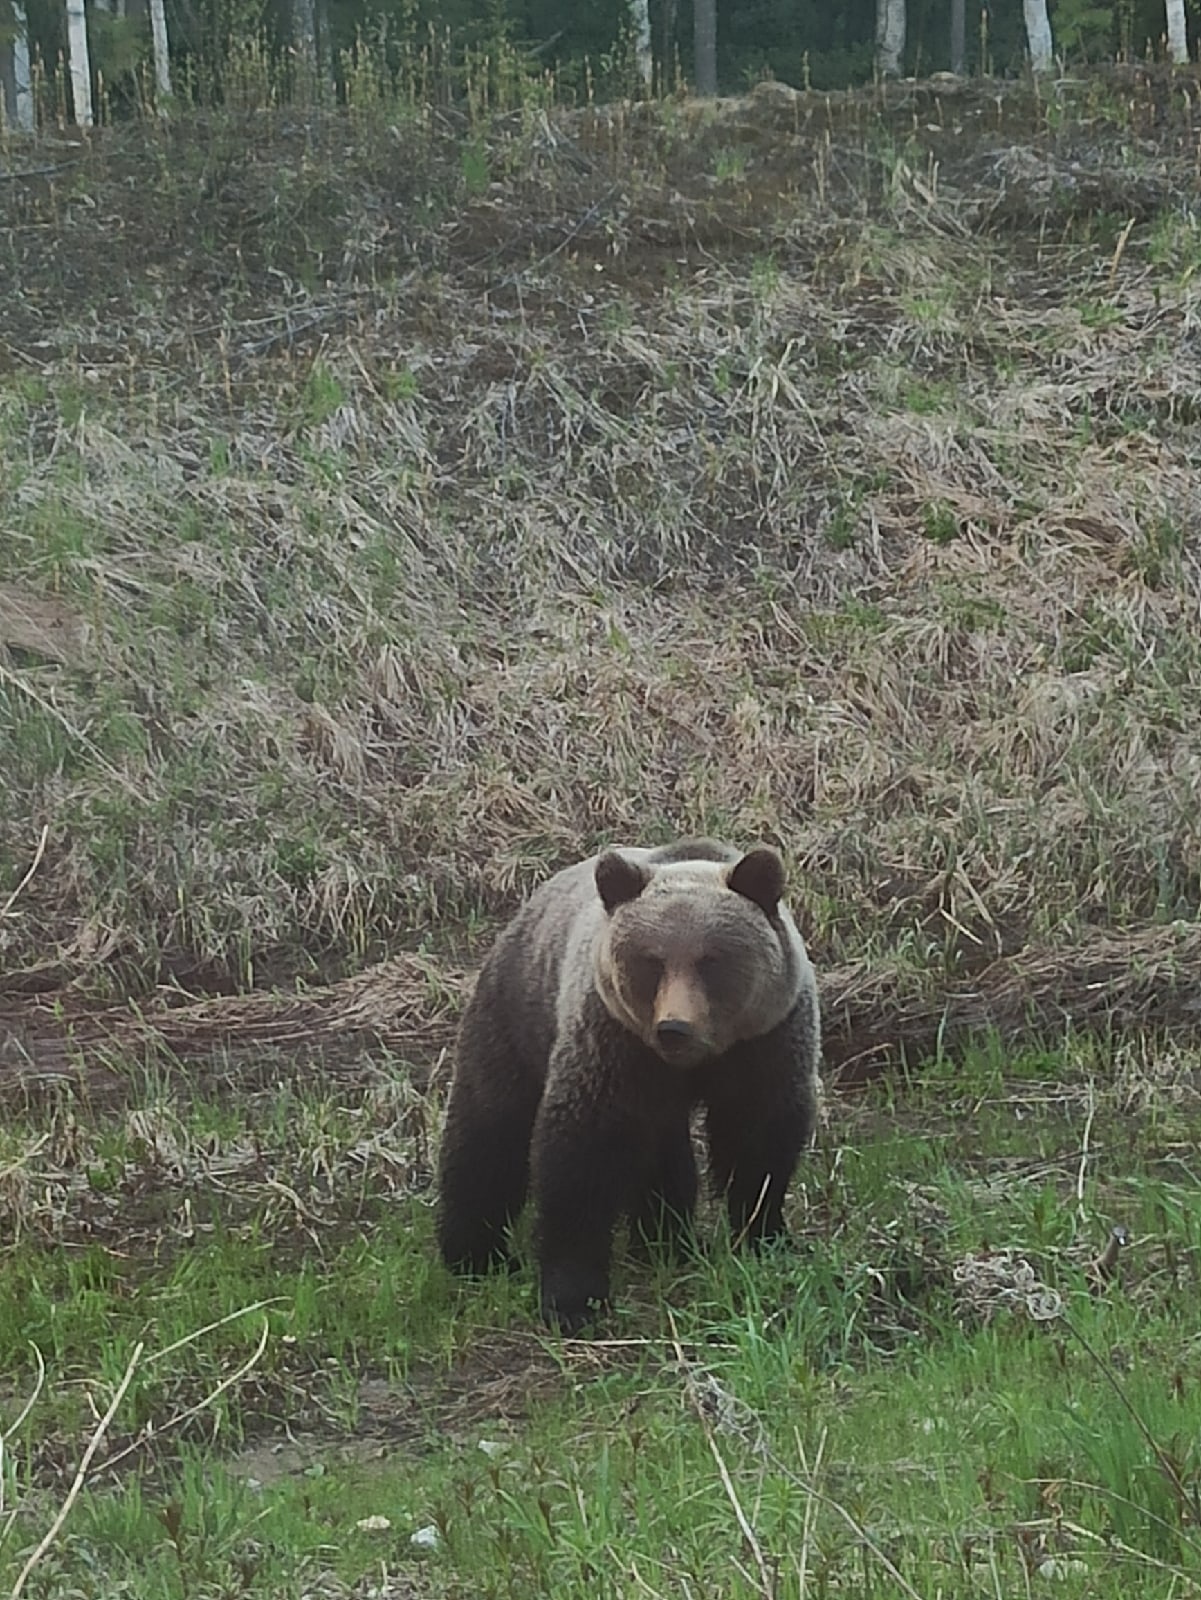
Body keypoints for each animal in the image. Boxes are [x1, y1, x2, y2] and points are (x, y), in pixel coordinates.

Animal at [438, 832, 825, 1331]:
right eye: (651, 961)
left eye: (712, 960)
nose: (674, 1027)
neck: (695, 1061)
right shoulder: (613, 1043)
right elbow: (583, 1155)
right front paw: (573, 1299)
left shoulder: (764, 1041)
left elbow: (758, 1142)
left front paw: (767, 1239)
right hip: (517, 1014)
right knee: (489, 1129)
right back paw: (475, 1254)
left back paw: (666, 1242)